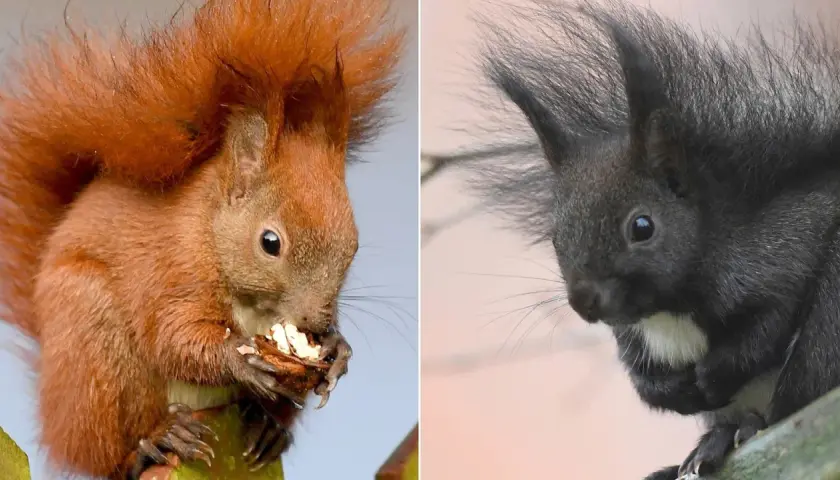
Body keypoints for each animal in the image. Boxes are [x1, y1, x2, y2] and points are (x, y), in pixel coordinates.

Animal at [0, 0, 403, 478]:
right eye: (270, 242)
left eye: (354, 245)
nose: (317, 323)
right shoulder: (173, 272)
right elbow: (174, 340)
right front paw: (238, 360)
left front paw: (338, 351)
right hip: (94, 350)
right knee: (111, 452)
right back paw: (155, 441)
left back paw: (266, 428)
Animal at [472, 1, 840, 479]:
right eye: (555, 238)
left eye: (642, 227)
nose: (583, 302)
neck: (667, 309)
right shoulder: (632, 334)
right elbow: (639, 372)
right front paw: (671, 390)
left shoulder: (788, 243)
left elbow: (770, 320)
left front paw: (713, 375)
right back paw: (710, 443)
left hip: (828, 327)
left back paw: (745, 428)